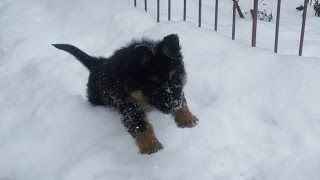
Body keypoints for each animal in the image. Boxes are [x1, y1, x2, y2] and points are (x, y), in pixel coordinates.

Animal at [52, 34, 198, 155]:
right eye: (153, 85)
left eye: (174, 78)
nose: (174, 104)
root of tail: (97, 64)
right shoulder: (128, 105)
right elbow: (140, 124)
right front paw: (150, 145)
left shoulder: (178, 91)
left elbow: (182, 99)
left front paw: (186, 118)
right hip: (97, 98)